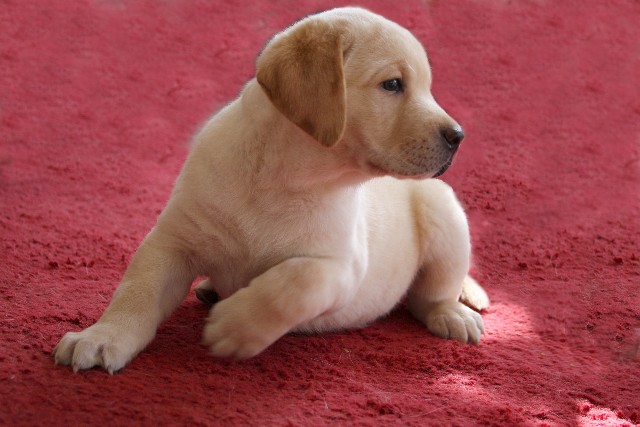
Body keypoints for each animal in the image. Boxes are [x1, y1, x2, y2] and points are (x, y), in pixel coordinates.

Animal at [53, 6, 490, 374]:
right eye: (393, 84)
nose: (458, 136)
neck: (284, 177)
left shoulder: (340, 266)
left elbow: (293, 282)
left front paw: (236, 325)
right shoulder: (173, 239)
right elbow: (136, 290)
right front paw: (103, 336)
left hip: (443, 212)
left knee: (429, 295)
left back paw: (453, 315)